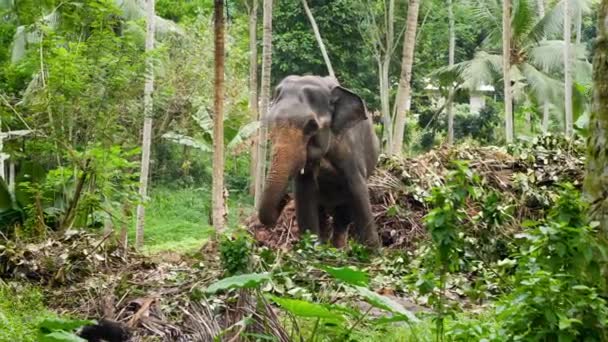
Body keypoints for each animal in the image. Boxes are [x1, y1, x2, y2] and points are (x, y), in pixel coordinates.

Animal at [256, 75, 380, 248]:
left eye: (311, 126)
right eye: (269, 122)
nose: (285, 198)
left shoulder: (351, 149)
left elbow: (358, 191)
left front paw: (373, 250)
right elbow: (305, 196)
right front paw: (312, 248)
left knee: (343, 216)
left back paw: (338, 248)